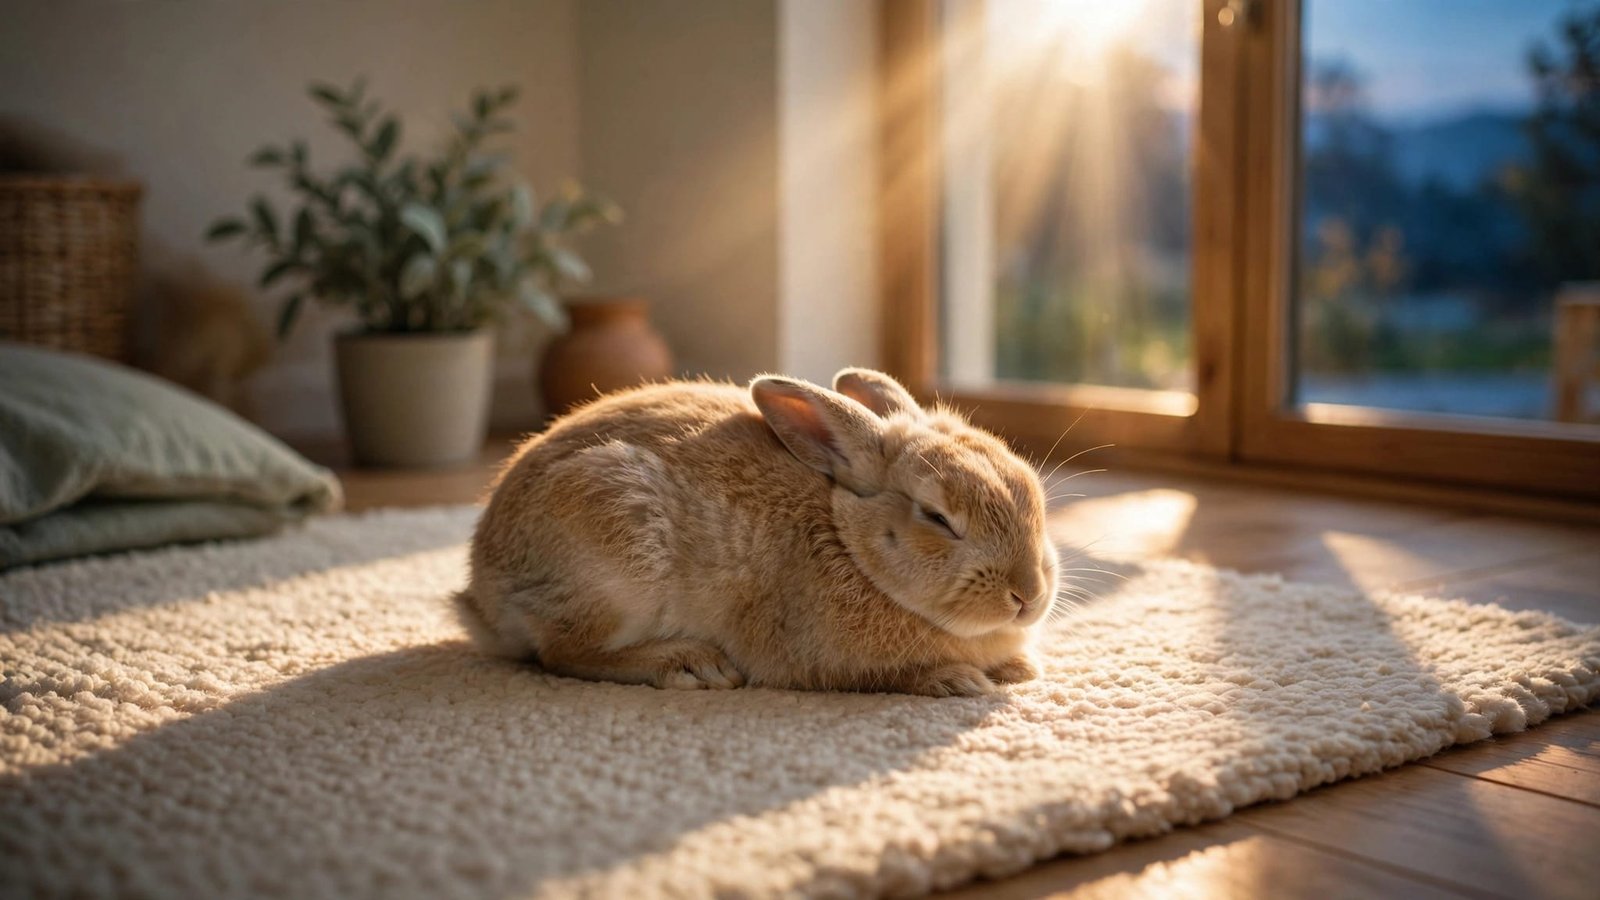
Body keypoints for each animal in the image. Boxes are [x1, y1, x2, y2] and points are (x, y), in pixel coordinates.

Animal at [454, 367, 1059, 696]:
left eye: (1032, 490)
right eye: (937, 518)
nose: (1028, 595)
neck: (851, 544)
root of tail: (483, 593)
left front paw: (1019, 667)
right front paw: (957, 681)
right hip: (619, 569)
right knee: (560, 653)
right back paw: (689, 664)